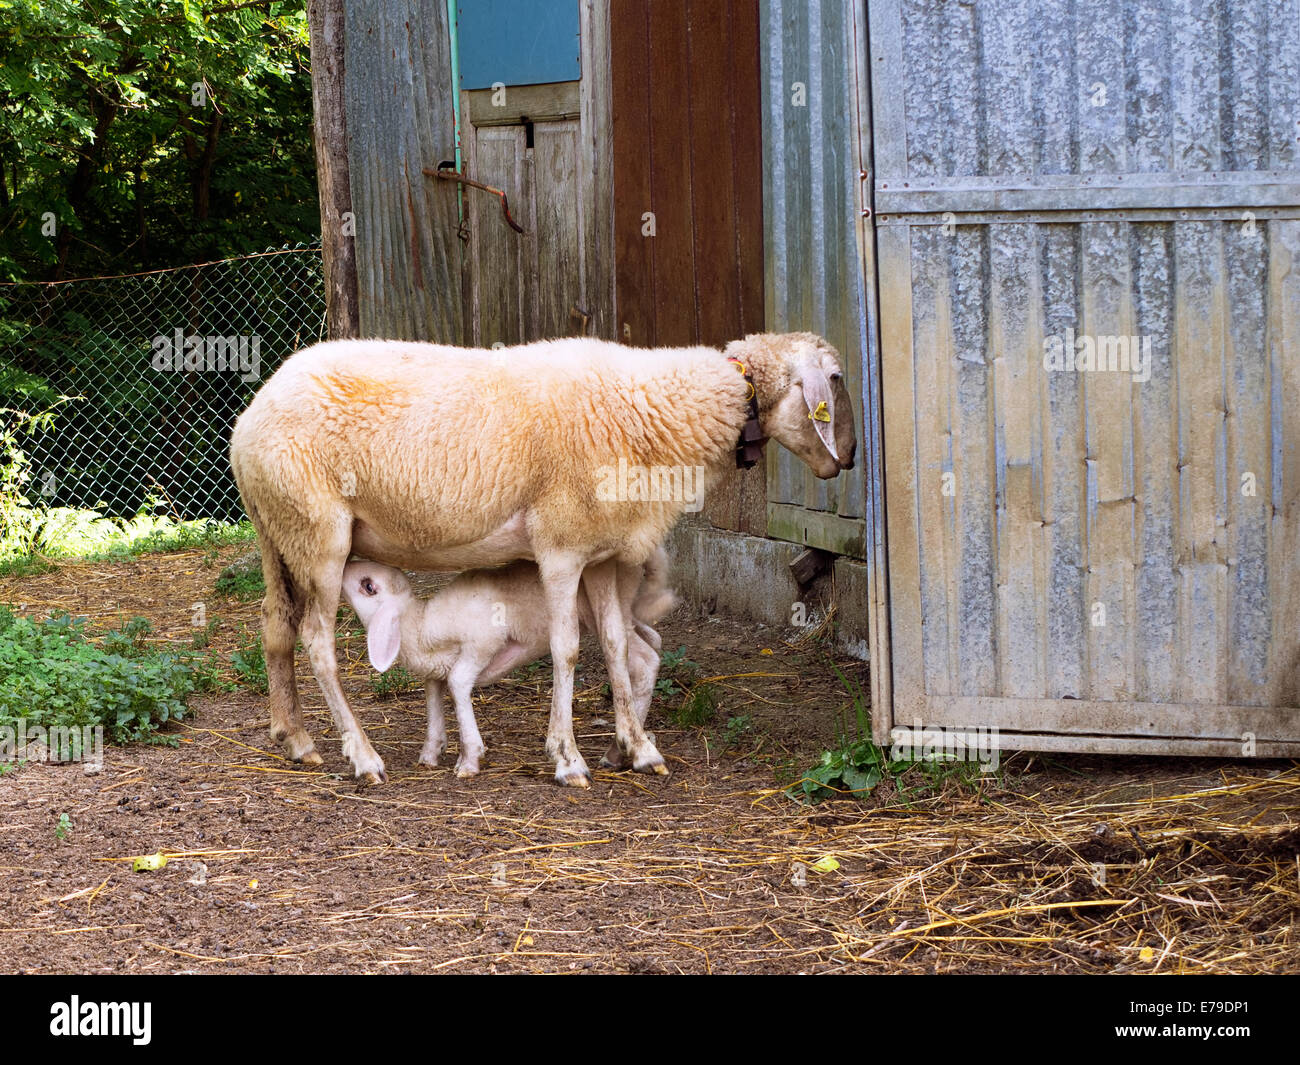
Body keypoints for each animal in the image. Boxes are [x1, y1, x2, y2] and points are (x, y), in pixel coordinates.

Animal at [340, 546, 676, 780]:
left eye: (368, 586)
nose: (345, 565)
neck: (420, 626)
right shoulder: (435, 671)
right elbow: (434, 696)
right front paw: (430, 752)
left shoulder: (482, 643)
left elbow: (458, 683)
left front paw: (469, 759)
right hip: (625, 609)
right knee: (653, 642)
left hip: (599, 608)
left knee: (642, 658)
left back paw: (630, 750)